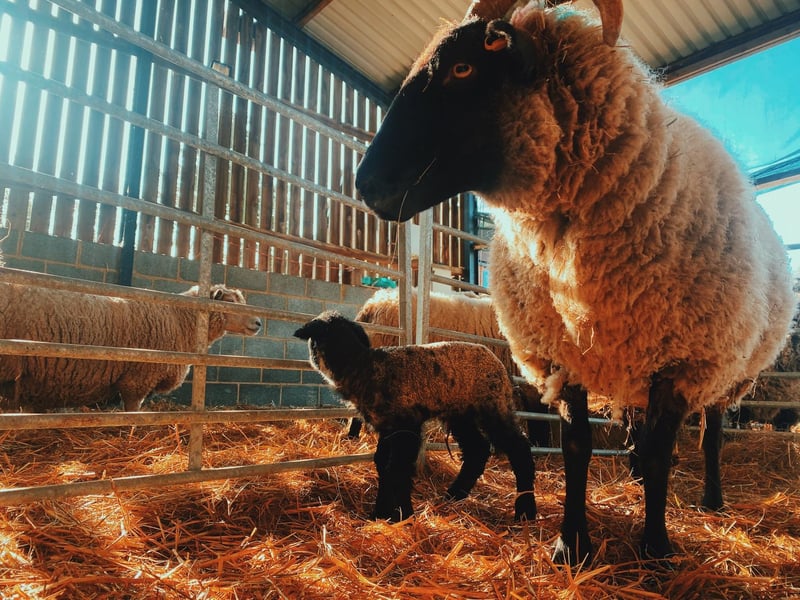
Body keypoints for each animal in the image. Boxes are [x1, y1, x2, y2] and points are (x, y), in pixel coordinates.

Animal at [294, 310, 537, 522]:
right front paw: (380, 514)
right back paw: (453, 495)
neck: (364, 367)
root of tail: (502, 367)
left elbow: (397, 468)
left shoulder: (406, 426)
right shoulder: (388, 426)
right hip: (460, 413)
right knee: (477, 450)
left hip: (492, 405)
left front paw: (404, 515)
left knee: (519, 449)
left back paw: (525, 511)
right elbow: (382, 463)